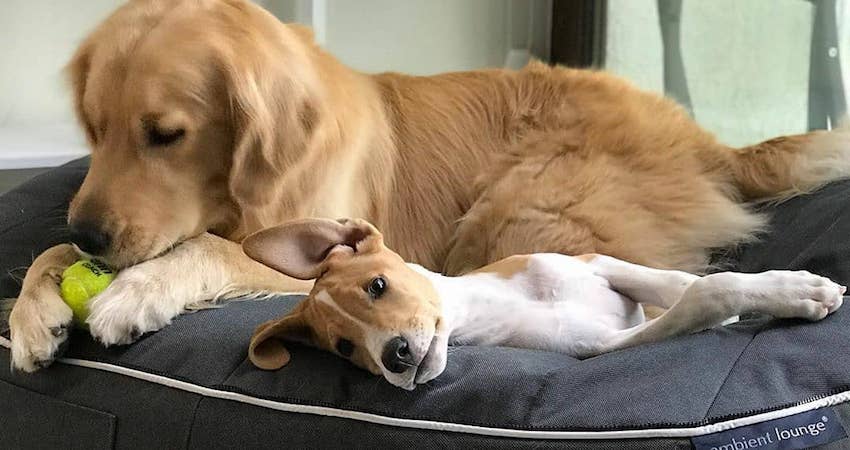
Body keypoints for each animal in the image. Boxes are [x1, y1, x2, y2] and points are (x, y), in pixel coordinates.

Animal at [6, 0, 848, 372]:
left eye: (166, 135)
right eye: (93, 127)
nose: (90, 234)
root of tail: (712, 145)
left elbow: (210, 248)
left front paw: (134, 294)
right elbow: (46, 253)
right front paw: (34, 314)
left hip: (520, 207)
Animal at [242, 218, 844, 390]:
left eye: (377, 287)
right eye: (346, 349)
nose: (394, 357)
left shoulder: (603, 265)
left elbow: (684, 282)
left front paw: (791, 287)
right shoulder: (604, 346)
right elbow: (702, 294)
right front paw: (797, 293)